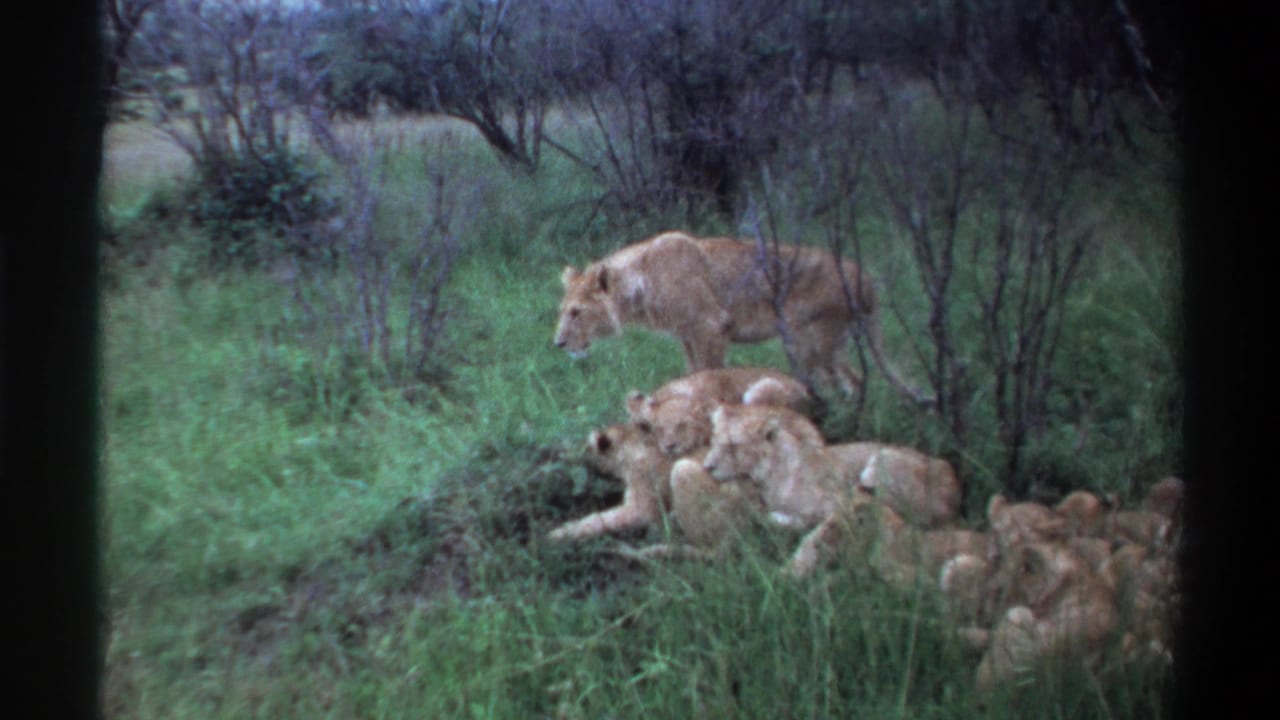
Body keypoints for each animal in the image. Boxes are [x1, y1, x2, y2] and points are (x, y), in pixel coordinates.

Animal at [554, 230, 930, 400]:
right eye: (564, 311)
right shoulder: (689, 336)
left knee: (850, 380)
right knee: (850, 379)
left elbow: (710, 374)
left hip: (813, 339)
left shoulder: (711, 327)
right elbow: (693, 372)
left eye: (576, 313)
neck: (641, 283)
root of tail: (864, 276)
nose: (558, 343)